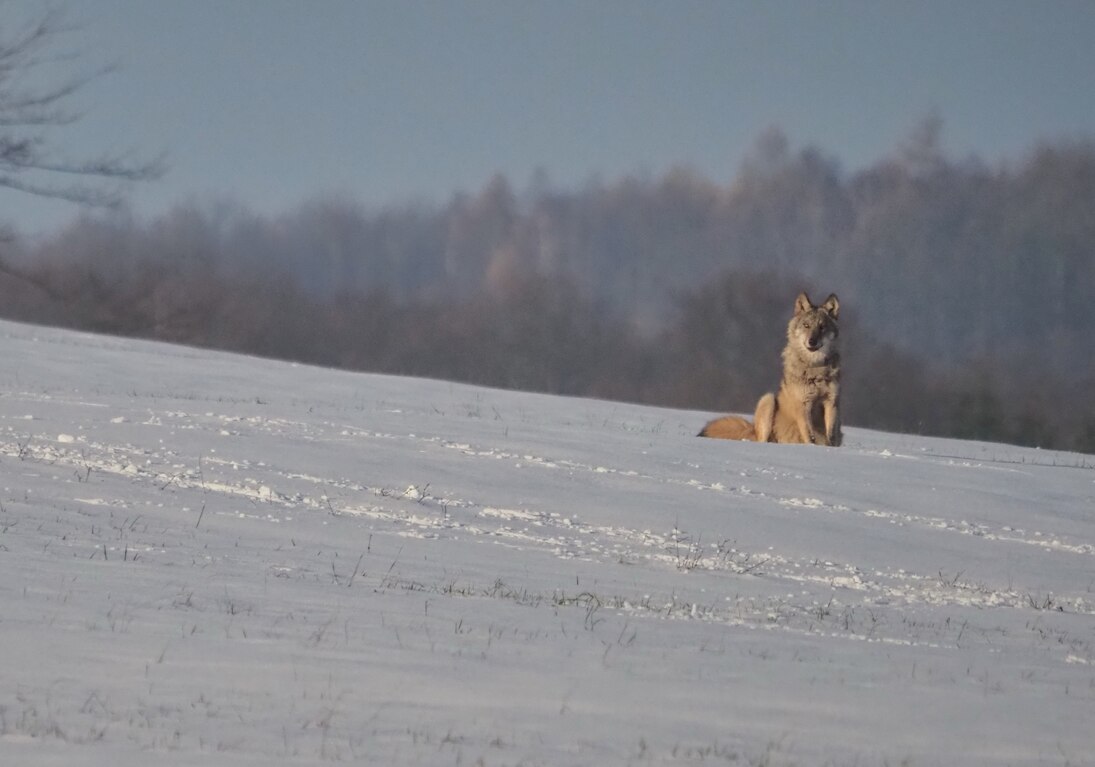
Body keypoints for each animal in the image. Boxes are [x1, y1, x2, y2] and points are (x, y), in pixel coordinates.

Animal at [699, 291, 842, 446]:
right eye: (806, 325)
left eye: (822, 327)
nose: (812, 341)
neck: (816, 368)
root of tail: (752, 429)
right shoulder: (803, 405)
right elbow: (809, 436)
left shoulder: (831, 402)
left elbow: (830, 435)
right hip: (768, 400)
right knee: (763, 439)